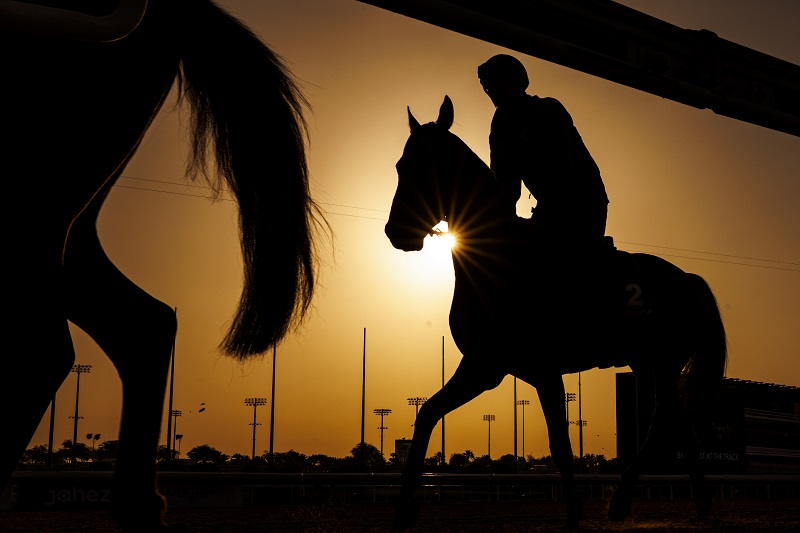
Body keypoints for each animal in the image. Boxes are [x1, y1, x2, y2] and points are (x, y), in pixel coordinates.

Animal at [384, 95, 728, 528]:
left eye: (430, 166)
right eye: (401, 166)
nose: (395, 232)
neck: (498, 261)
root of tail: (689, 280)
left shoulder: (538, 370)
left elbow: (560, 442)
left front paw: (574, 512)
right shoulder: (484, 366)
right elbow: (428, 413)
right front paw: (404, 507)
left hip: (664, 361)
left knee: (662, 423)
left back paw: (624, 500)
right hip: (646, 362)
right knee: (676, 423)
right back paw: (695, 500)